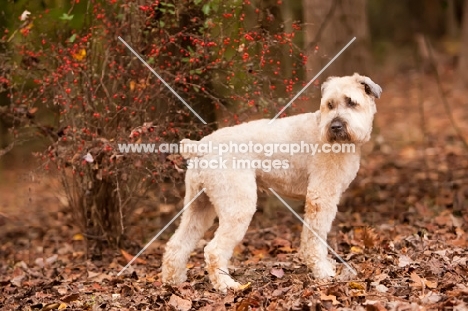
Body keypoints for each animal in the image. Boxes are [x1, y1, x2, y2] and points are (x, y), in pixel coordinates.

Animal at [161, 73, 380, 292]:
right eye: (330, 104)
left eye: (351, 102)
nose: (335, 127)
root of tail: (201, 146)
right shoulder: (321, 197)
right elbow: (315, 238)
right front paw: (322, 271)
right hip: (238, 207)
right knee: (213, 250)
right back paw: (227, 285)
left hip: (199, 207)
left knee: (177, 244)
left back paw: (173, 282)